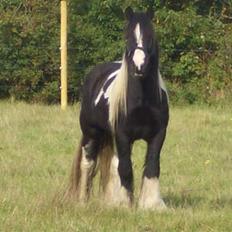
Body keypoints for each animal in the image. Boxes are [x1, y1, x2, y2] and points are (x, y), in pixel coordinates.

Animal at [66, 6, 169, 210]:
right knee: (88, 163)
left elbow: (152, 166)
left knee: (113, 163)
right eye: (127, 37)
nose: (139, 66)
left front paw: (151, 204)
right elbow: (126, 168)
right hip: (91, 133)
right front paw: (125, 204)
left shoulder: (158, 134)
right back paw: (83, 201)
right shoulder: (123, 135)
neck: (142, 100)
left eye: (150, 36)